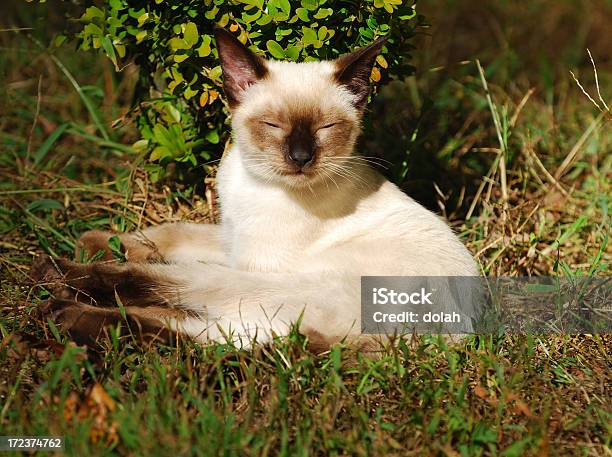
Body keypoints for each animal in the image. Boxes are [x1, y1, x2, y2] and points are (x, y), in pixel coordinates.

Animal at [29, 28, 478, 348]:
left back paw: (58, 287)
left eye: (325, 128)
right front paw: (95, 240)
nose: (301, 157)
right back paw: (62, 310)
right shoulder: (233, 240)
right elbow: (170, 233)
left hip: (272, 286)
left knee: (175, 304)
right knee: (199, 331)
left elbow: (157, 262)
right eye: (274, 125)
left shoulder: (250, 263)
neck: (258, 185)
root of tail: (458, 332)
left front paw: (87, 259)